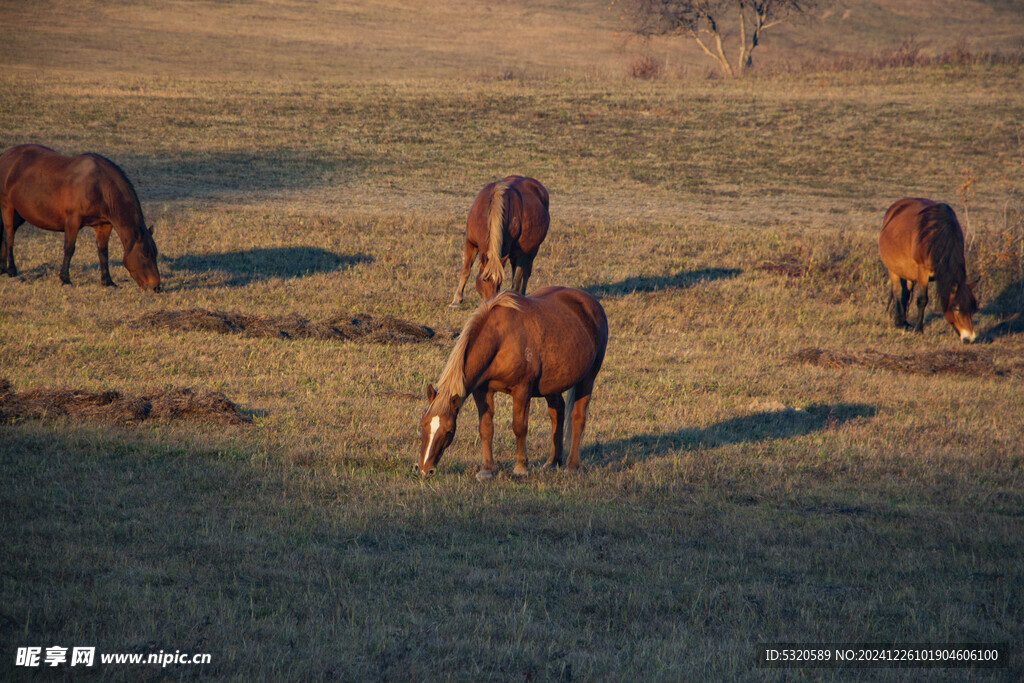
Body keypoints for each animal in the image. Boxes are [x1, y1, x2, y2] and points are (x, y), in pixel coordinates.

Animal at [1, 145, 160, 290]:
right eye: (144, 255)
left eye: (155, 254)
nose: (156, 287)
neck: (100, 186)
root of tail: (5, 155)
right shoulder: (73, 221)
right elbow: (69, 248)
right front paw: (65, 279)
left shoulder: (103, 225)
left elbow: (103, 252)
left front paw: (107, 281)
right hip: (7, 206)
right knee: (9, 237)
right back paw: (12, 270)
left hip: (19, 214)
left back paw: (3, 269)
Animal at [417, 286, 606, 479]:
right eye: (423, 424)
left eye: (448, 430)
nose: (424, 469)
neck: (500, 339)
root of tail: (592, 304)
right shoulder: (482, 391)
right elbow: (486, 428)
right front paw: (486, 469)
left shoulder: (522, 391)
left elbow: (519, 427)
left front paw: (521, 467)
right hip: (552, 385)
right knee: (557, 413)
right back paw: (552, 462)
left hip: (587, 379)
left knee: (578, 418)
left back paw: (571, 465)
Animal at [446, 174, 548, 307]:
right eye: (484, 279)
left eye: (499, 281)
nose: (490, 302)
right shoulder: (470, 243)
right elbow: (466, 270)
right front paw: (456, 300)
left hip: (530, 251)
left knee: (524, 274)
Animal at [880, 196, 974, 342]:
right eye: (956, 308)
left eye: (971, 308)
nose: (970, 338)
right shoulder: (923, 273)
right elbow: (922, 300)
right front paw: (919, 329)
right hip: (893, 269)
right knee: (897, 292)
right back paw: (900, 322)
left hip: (909, 272)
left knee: (906, 294)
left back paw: (904, 322)